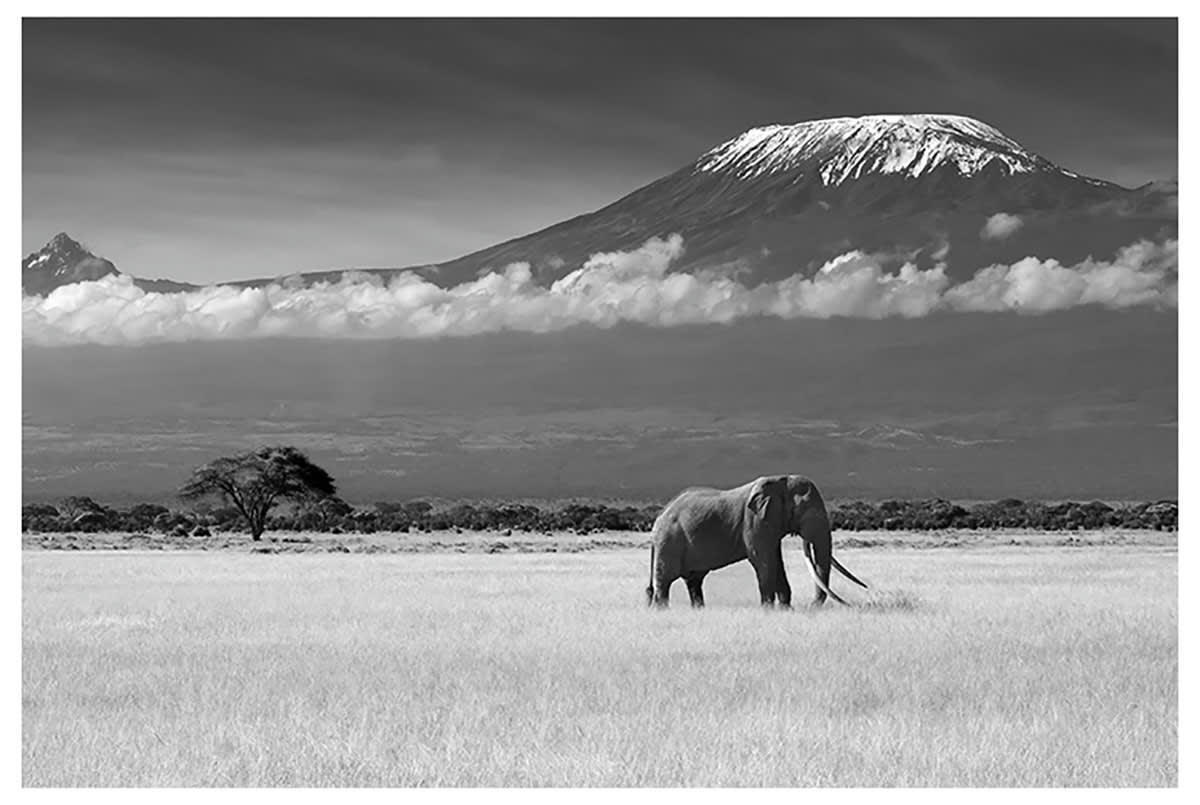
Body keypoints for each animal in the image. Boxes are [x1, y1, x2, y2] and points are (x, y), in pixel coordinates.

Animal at [645, 475, 867, 609]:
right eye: (805, 510)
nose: (811, 607)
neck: (780, 482)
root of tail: (659, 518)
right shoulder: (755, 521)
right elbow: (763, 561)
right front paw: (768, 610)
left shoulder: (770, 523)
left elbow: (777, 561)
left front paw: (786, 610)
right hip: (669, 542)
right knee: (665, 582)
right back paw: (662, 611)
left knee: (694, 582)